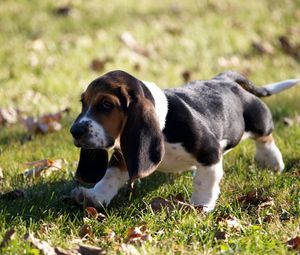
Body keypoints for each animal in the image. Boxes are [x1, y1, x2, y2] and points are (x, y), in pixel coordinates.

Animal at [71, 69, 300, 211]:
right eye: (83, 102)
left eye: (106, 104)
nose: (74, 131)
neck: (162, 123)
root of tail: (223, 79)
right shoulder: (124, 155)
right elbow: (110, 176)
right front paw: (95, 196)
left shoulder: (210, 153)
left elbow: (204, 180)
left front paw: (201, 206)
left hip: (257, 119)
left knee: (265, 137)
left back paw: (271, 161)